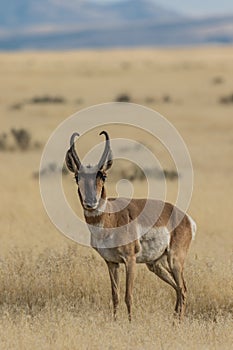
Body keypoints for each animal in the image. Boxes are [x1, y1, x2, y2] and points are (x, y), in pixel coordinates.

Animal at [65, 132, 197, 322]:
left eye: (103, 175)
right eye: (77, 177)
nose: (90, 202)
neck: (111, 217)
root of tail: (185, 217)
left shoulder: (130, 260)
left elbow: (128, 295)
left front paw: (130, 322)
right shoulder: (112, 263)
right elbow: (115, 296)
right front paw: (114, 322)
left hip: (175, 260)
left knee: (183, 288)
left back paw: (178, 322)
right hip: (155, 265)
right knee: (177, 288)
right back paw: (173, 321)